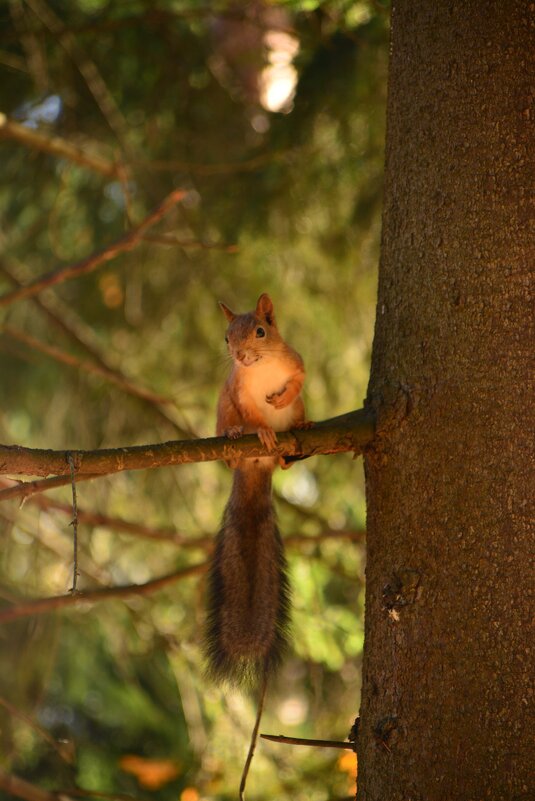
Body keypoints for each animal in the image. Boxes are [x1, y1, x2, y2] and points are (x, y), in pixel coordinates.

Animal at [204, 290, 308, 684]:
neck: (260, 369)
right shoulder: (240, 391)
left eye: (261, 332)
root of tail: (256, 467)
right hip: (223, 404)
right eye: (226, 338)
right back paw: (235, 438)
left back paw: (296, 437)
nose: (239, 356)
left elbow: (300, 379)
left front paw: (281, 398)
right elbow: (252, 412)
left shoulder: (296, 362)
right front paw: (261, 430)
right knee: (231, 441)